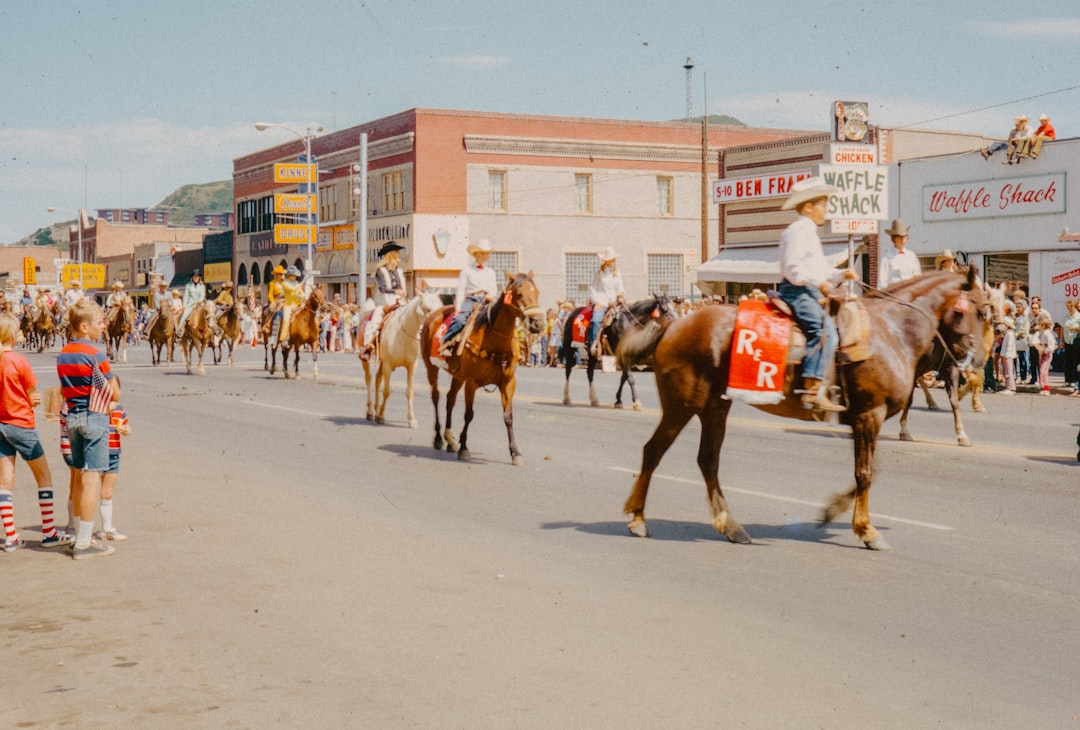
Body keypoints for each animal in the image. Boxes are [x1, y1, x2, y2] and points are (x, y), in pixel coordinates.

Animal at [362, 291, 442, 427]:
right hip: (366, 361)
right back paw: (370, 412)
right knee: (369, 380)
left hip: (381, 363)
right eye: (427, 309)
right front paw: (381, 416)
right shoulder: (388, 365)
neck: (403, 334)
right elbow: (387, 391)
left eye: (441, 307)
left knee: (377, 380)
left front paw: (412, 419)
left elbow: (409, 392)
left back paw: (376, 409)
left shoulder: (411, 366)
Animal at [416, 271, 544, 464]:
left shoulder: (508, 383)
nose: (538, 324)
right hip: (431, 367)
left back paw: (450, 440)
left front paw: (515, 453)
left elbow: (508, 417)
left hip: (457, 375)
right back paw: (439, 438)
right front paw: (464, 447)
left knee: (450, 399)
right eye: (519, 294)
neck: (494, 340)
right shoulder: (472, 382)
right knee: (436, 397)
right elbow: (469, 414)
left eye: (536, 292)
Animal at [617, 271, 993, 550]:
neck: (892, 330)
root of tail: (674, 326)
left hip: (714, 407)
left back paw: (730, 526)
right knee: (654, 451)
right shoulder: (868, 415)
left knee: (707, 460)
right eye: (978, 311)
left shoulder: (863, 419)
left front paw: (831, 512)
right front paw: (866, 530)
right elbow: (865, 473)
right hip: (681, 406)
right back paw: (638, 519)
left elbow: (868, 471)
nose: (976, 363)